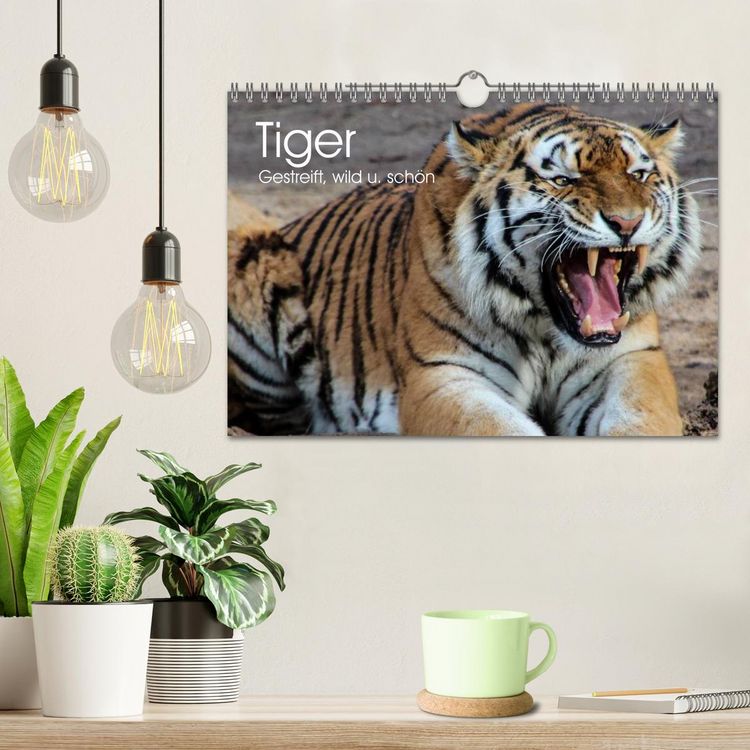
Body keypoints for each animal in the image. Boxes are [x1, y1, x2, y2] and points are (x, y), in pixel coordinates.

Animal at [228, 103, 701, 436]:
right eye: (562, 180)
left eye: (639, 175)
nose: (626, 222)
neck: (546, 329)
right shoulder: (443, 374)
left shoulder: (631, 358)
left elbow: (642, 418)